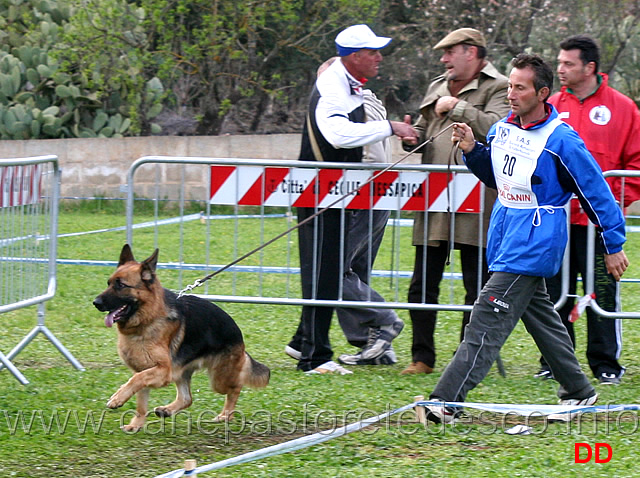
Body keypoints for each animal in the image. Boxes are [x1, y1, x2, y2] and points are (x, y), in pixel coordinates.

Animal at [92, 245, 268, 432]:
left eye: (121, 285)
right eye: (109, 283)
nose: (96, 302)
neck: (148, 319)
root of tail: (238, 334)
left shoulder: (162, 371)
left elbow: (135, 380)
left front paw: (117, 398)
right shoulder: (145, 370)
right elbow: (141, 401)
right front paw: (136, 425)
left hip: (219, 379)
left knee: (236, 387)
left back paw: (225, 415)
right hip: (182, 373)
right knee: (187, 398)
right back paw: (167, 410)